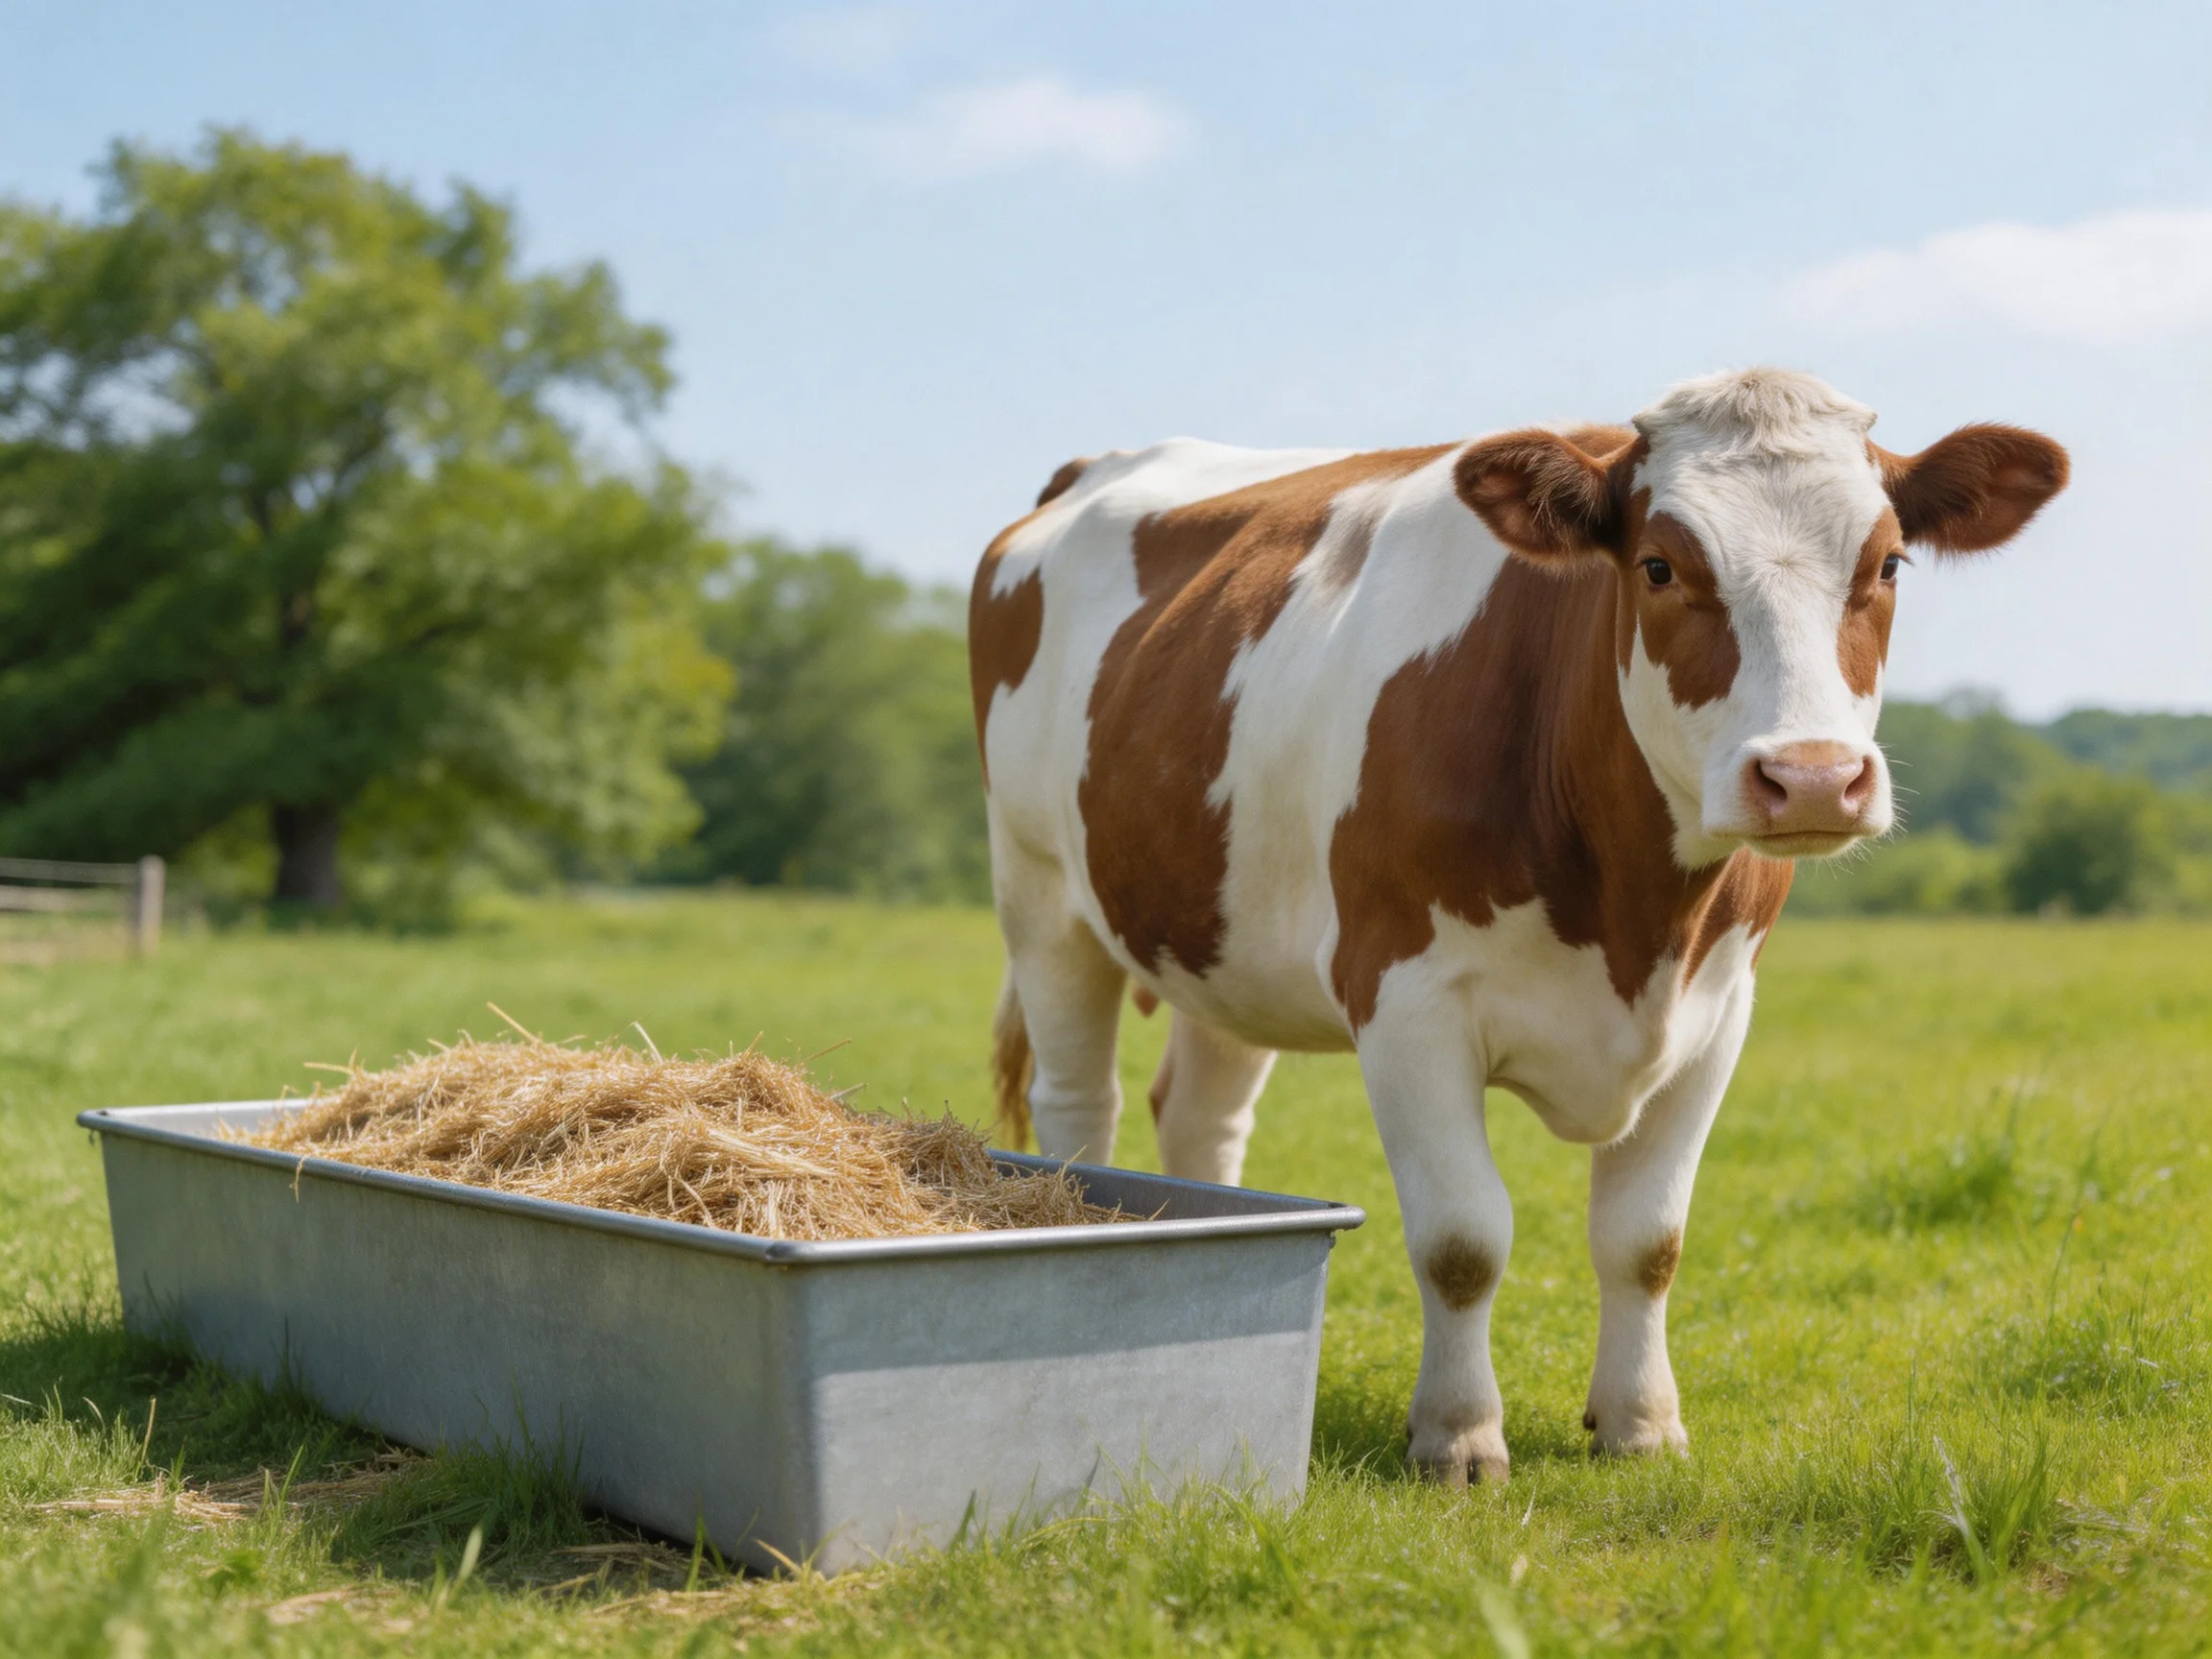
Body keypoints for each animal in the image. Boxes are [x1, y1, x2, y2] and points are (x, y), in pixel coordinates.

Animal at [967, 368, 2067, 1484]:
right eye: (1660, 565)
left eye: (1887, 563)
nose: (1810, 776)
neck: (1634, 919)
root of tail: (1092, 470)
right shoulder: (1403, 999)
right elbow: (1463, 1239)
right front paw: (1457, 1436)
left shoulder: (1720, 1011)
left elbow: (1646, 1239)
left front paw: (1641, 1423)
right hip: (1040, 892)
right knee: (1080, 1104)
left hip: (1224, 936)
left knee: (1201, 1117)